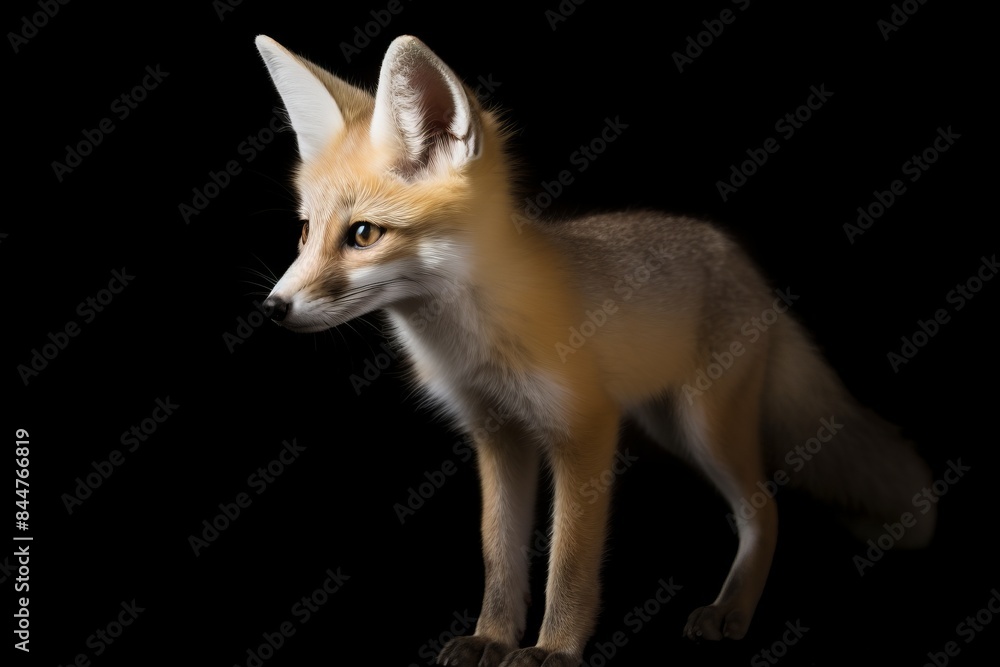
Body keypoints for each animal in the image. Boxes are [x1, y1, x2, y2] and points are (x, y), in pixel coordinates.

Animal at [254, 34, 936, 666]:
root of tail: (746, 267)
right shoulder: (498, 435)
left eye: (364, 235)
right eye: (305, 231)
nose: (273, 308)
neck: (476, 339)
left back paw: (731, 611)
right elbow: (500, 556)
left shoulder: (585, 430)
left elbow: (570, 563)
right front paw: (492, 638)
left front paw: (555, 650)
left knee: (764, 509)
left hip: (704, 427)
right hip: (669, 423)